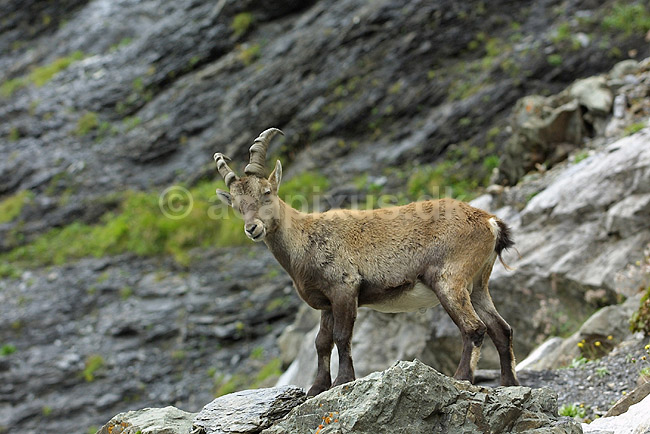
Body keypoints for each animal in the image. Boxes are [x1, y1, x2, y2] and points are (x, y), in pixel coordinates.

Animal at [214, 128, 519, 396]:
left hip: (449, 278)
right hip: (477, 284)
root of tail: (490, 222)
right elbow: (321, 342)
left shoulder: (345, 288)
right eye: (237, 205)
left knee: (474, 328)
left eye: (266, 192)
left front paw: (343, 381)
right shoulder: (327, 302)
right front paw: (316, 388)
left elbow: (341, 336)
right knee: (501, 329)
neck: (304, 237)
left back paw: (461, 378)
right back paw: (509, 384)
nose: (252, 228)